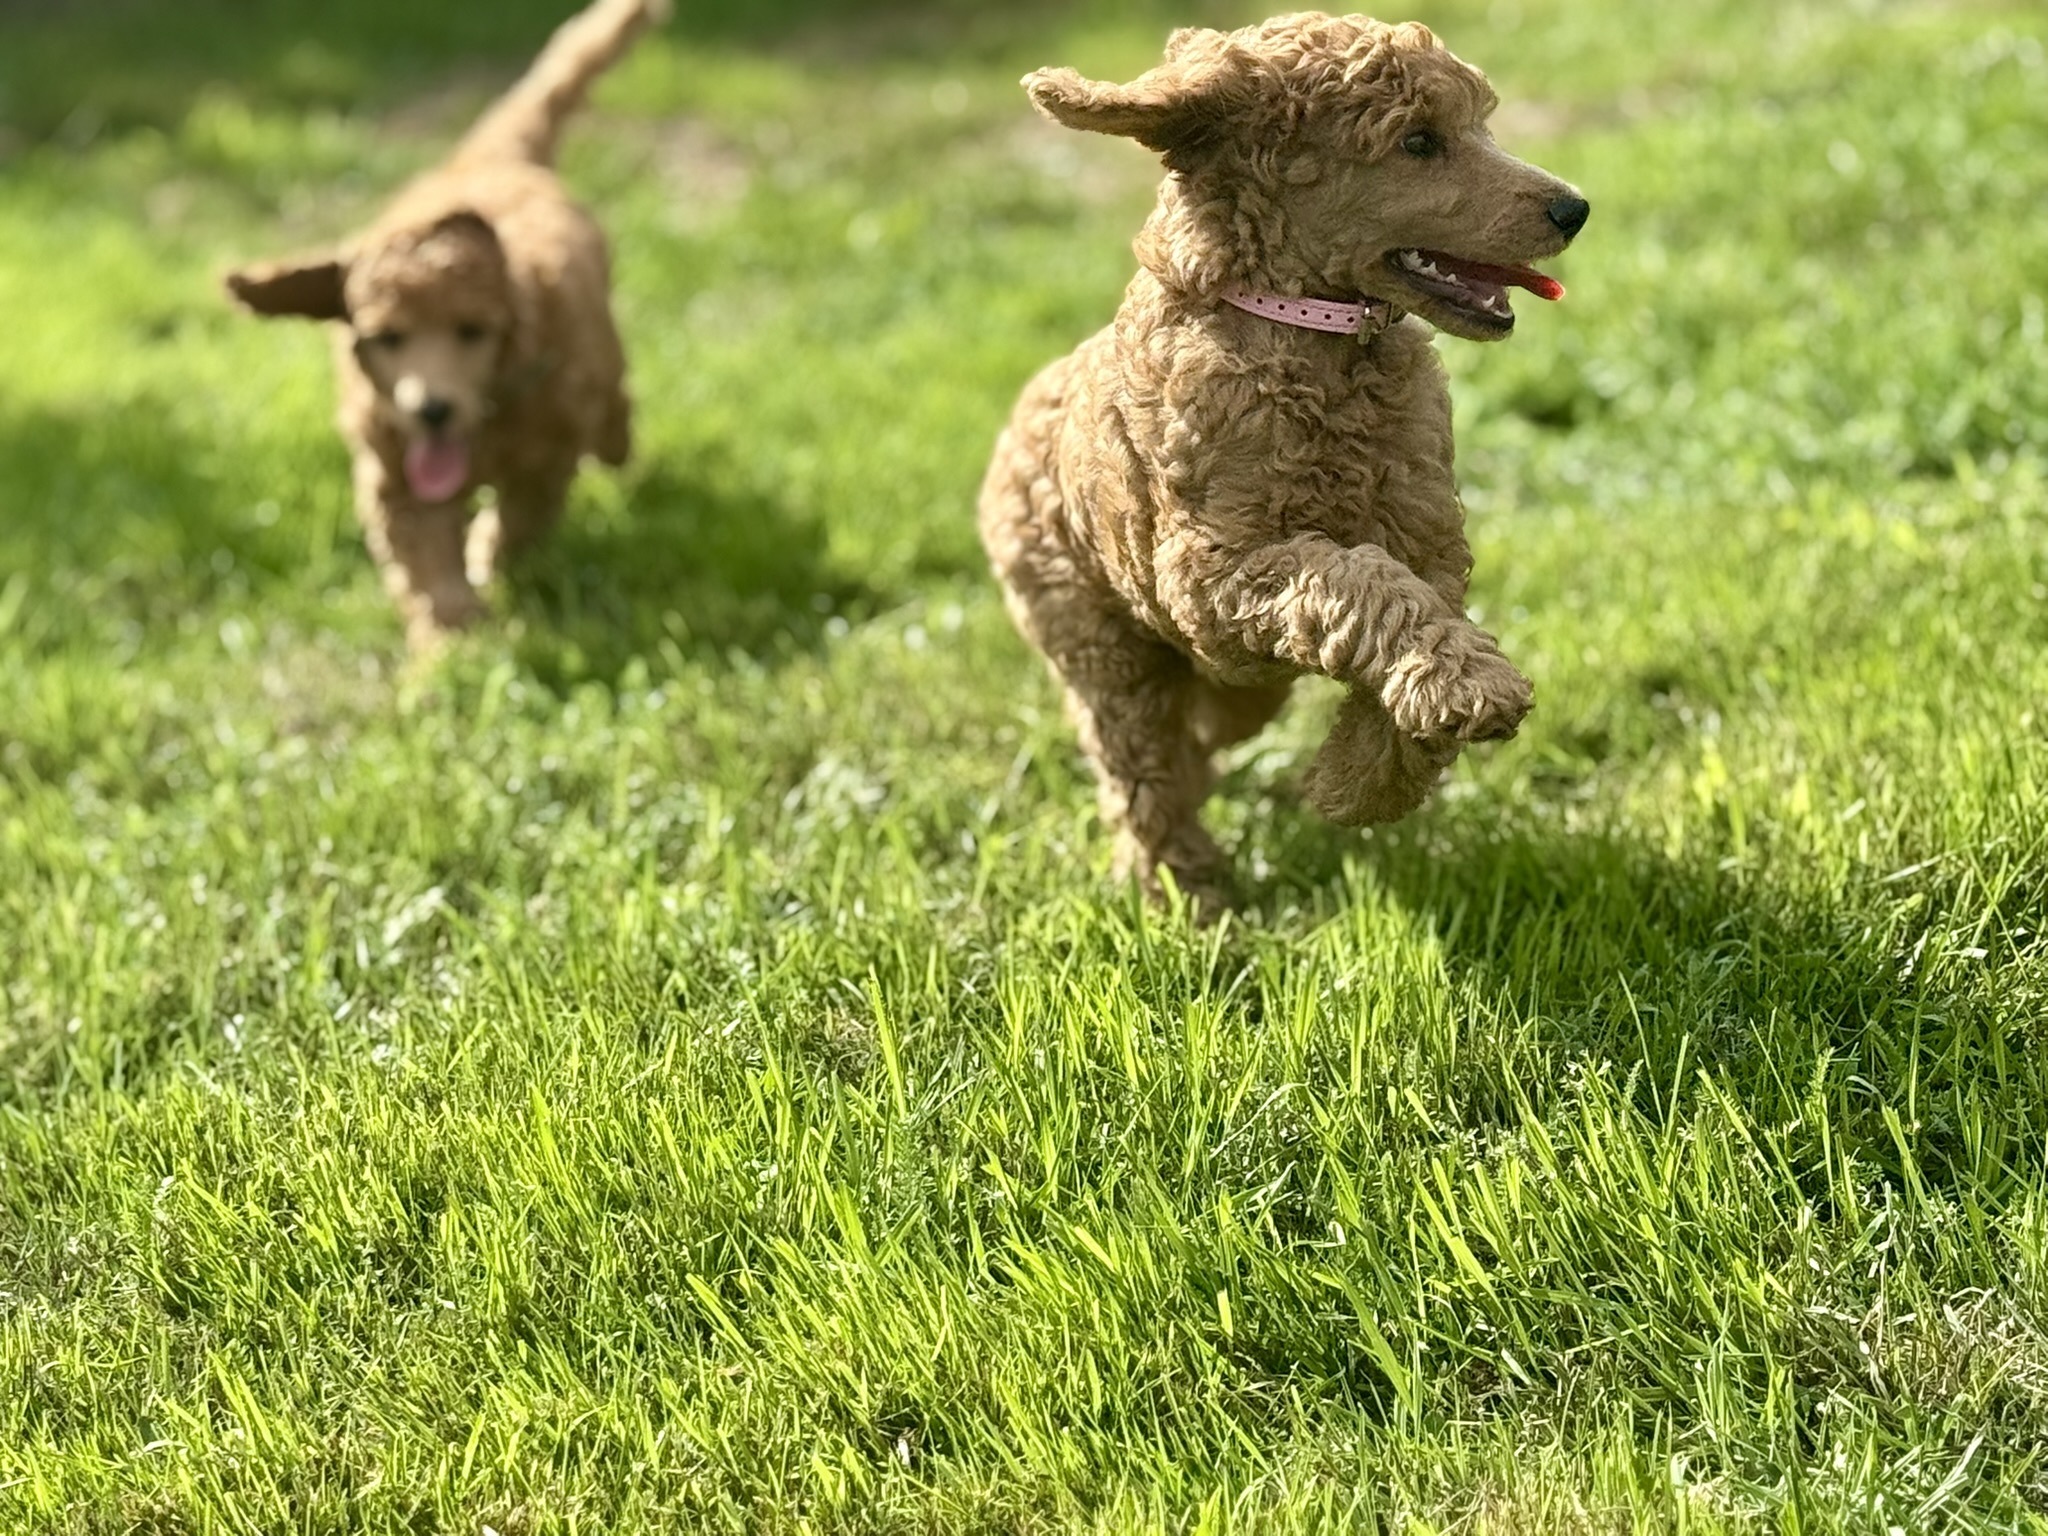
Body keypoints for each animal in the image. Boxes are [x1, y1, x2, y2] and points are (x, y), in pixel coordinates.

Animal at [226, 0, 668, 650]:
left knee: (613, 409)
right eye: (387, 338)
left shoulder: (546, 452)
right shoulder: (397, 477)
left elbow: (521, 516)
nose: (430, 409)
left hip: (601, 357)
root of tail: (491, 160)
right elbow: (427, 564)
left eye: (472, 331)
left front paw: (487, 558)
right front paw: (452, 641)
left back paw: (616, 445)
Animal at [979, 12, 1589, 905]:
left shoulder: (1429, 544)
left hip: (1226, 682)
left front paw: (1351, 788)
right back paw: (1182, 890)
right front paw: (1469, 691)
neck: (1309, 331)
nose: (1574, 208)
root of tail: (1015, 419)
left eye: (1480, 122)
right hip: (1098, 636)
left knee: (1205, 724)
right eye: (1418, 141)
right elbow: (1356, 580)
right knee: (1140, 764)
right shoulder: (1212, 577)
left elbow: (1412, 619)